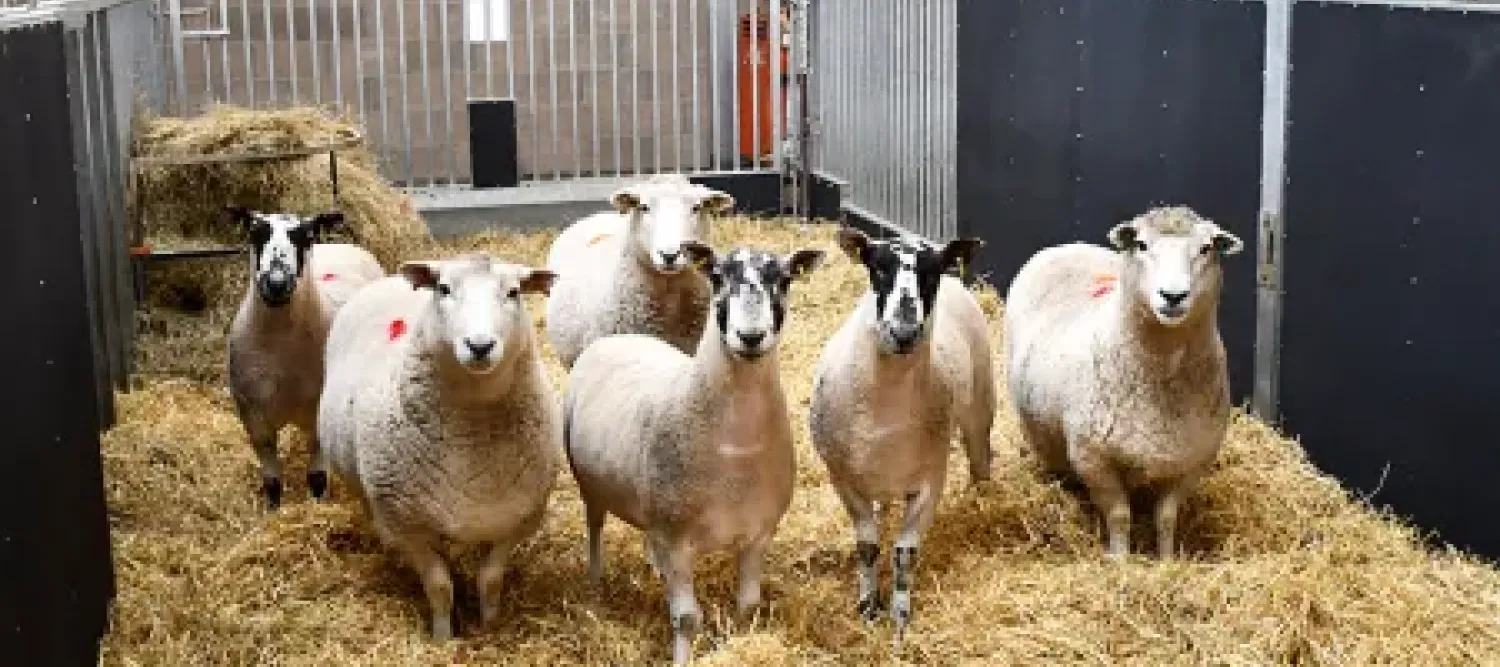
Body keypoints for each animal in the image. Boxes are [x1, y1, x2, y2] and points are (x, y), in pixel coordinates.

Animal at [225, 206, 385, 510]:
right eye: (255, 232)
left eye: (305, 235)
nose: (277, 283)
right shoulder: (254, 417)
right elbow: (272, 482)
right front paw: (273, 511)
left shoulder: (318, 413)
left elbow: (317, 477)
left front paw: (318, 506)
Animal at [315, 252, 561, 640]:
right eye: (443, 289)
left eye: (513, 292)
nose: (480, 346)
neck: (472, 436)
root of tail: (390, 279)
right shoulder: (408, 526)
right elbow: (440, 587)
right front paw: (444, 636)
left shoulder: (519, 519)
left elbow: (491, 579)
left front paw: (490, 626)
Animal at [562, 242, 825, 665]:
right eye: (716, 277)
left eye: (785, 280)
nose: (751, 336)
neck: (735, 450)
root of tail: (619, 337)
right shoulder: (676, 540)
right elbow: (686, 619)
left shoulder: (758, 533)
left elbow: (748, 606)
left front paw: (740, 643)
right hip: (589, 484)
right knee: (595, 526)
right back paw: (594, 581)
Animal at [807, 227, 993, 636]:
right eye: (877, 268)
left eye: (932, 271)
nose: (904, 331)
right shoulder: (843, 478)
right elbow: (867, 546)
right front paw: (867, 607)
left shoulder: (929, 482)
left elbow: (905, 553)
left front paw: (900, 618)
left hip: (980, 407)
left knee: (980, 458)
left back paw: (983, 500)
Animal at [1003, 206, 1244, 560]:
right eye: (1141, 245)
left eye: (1206, 248)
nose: (1173, 296)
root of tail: (1066, 245)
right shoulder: (1093, 457)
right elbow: (1119, 516)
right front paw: (1119, 559)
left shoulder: (1193, 461)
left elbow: (1166, 517)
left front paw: (1167, 559)